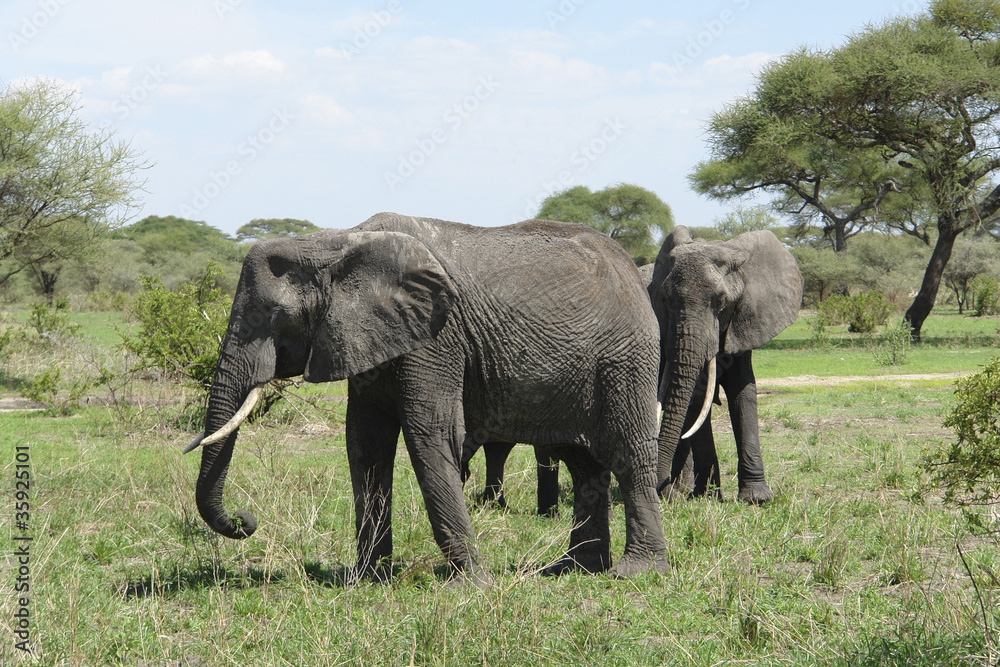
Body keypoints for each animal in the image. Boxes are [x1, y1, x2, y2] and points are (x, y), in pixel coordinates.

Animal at [186, 213, 672, 584]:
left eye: (274, 315)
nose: (245, 520)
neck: (337, 243)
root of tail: (632, 269)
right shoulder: (370, 337)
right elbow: (365, 442)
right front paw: (365, 579)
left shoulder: (436, 338)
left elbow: (430, 435)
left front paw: (473, 583)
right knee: (584, 464)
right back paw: (573, 569)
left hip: (627, 359)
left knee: (628, 455)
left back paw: (635, 572)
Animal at [648, 227, 804, 504]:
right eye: (665, 300)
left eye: (721, 301)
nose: (662, 490)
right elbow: (697, 399)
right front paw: (708, 497)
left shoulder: (744, 320)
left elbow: (742, 390)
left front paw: (757, 499)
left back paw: (681, 489)